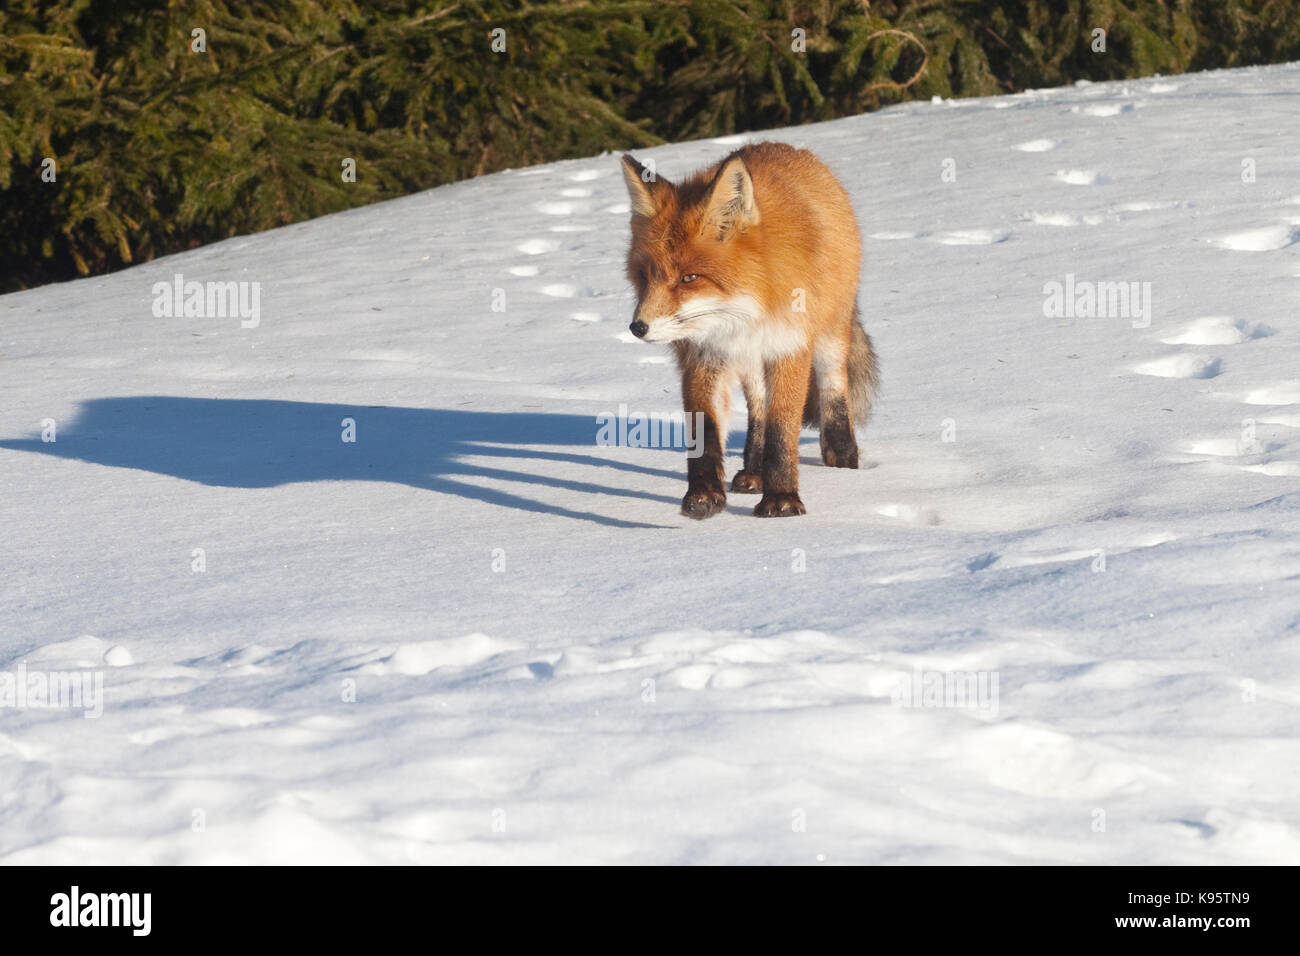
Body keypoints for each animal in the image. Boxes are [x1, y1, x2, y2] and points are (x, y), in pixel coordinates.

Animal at [621, 141, 883, 520]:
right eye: (644, 276)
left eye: (689, 278)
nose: (637, 327)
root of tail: (783, 147)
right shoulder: (703, 356)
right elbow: (705, 432)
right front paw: (702, 498)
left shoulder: (790, 347)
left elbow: (782, 430)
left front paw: (783, 500)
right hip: (750, 362)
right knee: (758, 408)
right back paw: (754, 472)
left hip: (829, 334)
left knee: (833, 386)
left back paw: (843, 458)